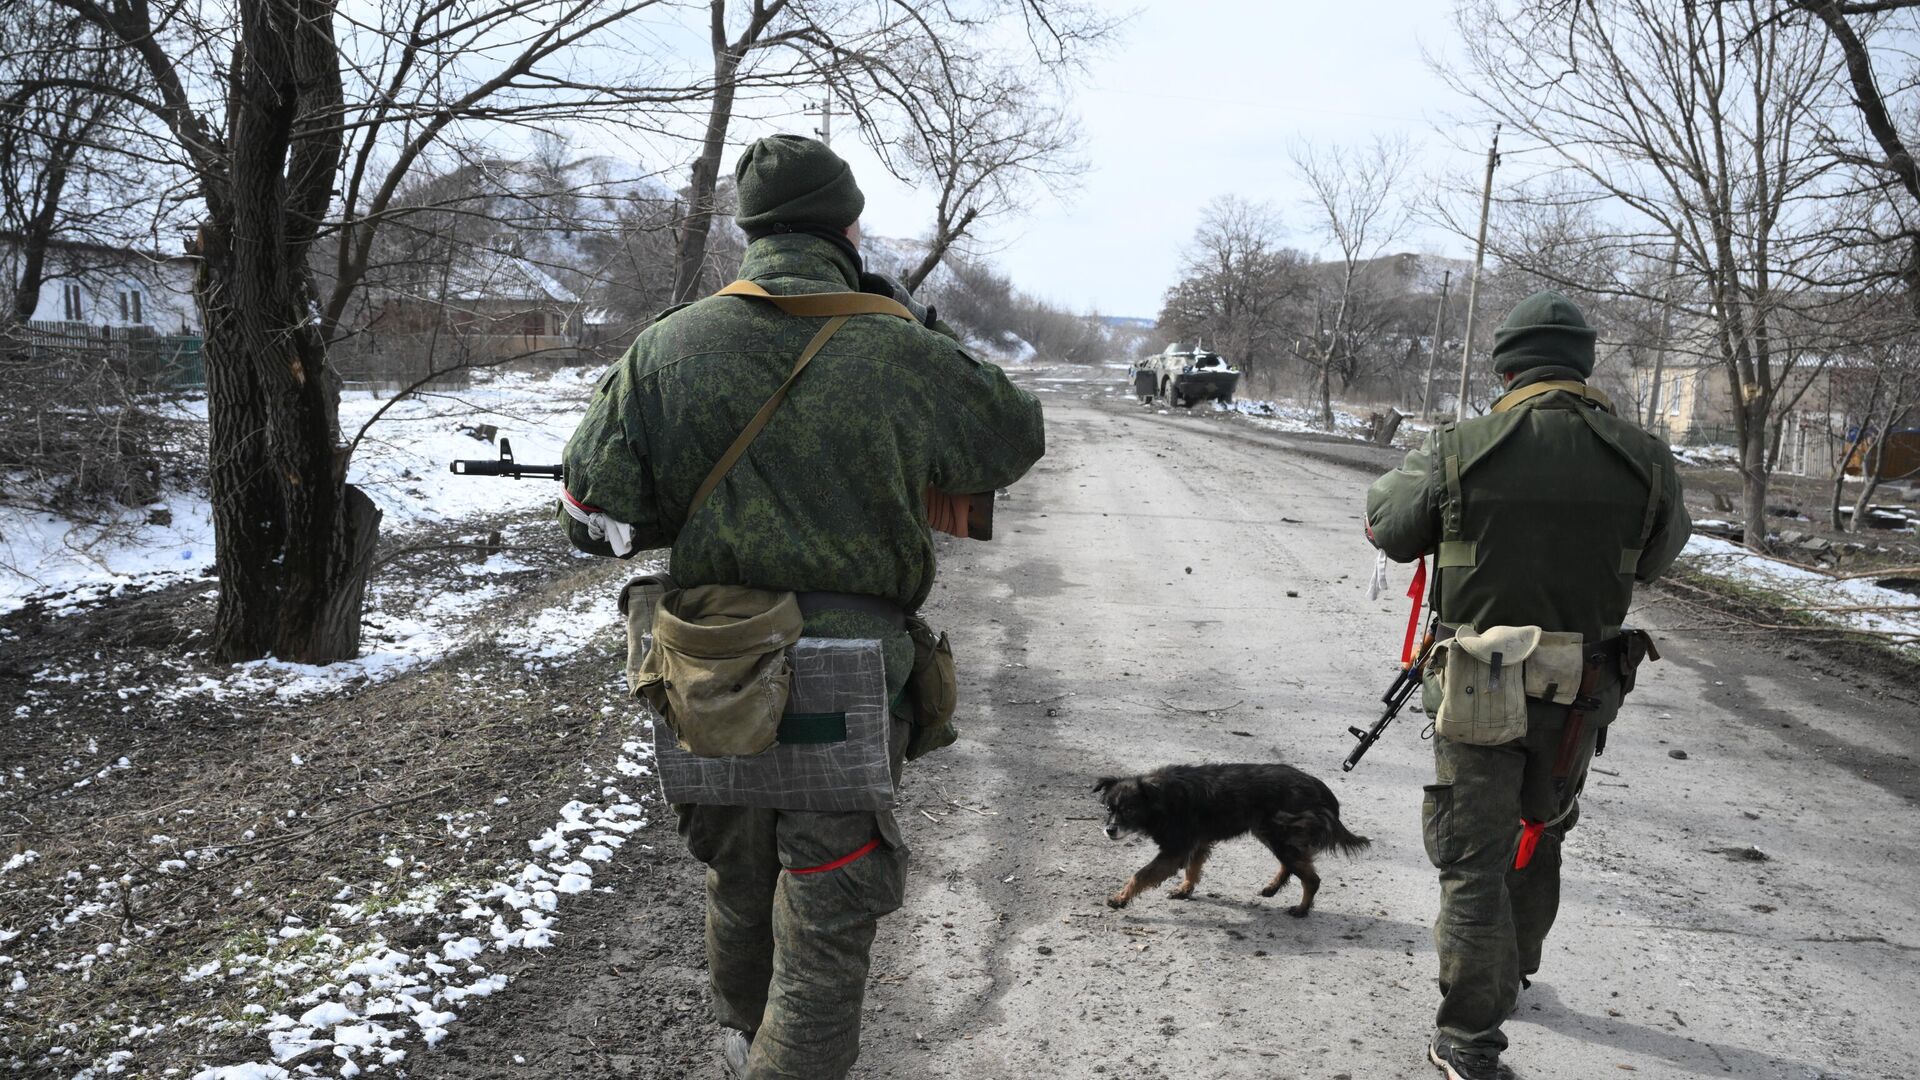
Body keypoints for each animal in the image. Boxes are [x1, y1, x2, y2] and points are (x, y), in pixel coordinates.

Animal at [1098, 757, 1367, 914]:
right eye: (1110, 808)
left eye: (1129, 810)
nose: (1110, 830)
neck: (1161, 798)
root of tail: (1318, 787)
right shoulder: (1198, 843)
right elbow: (1193, 870)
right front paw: (1185, 890)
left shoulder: (1175, 850)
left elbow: (1140, 875)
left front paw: (1120, 898)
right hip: (1273, 835)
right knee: (1292, 865)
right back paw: (1272, 888)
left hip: (1279, 834)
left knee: (1311, 879)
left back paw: (1301, 909)